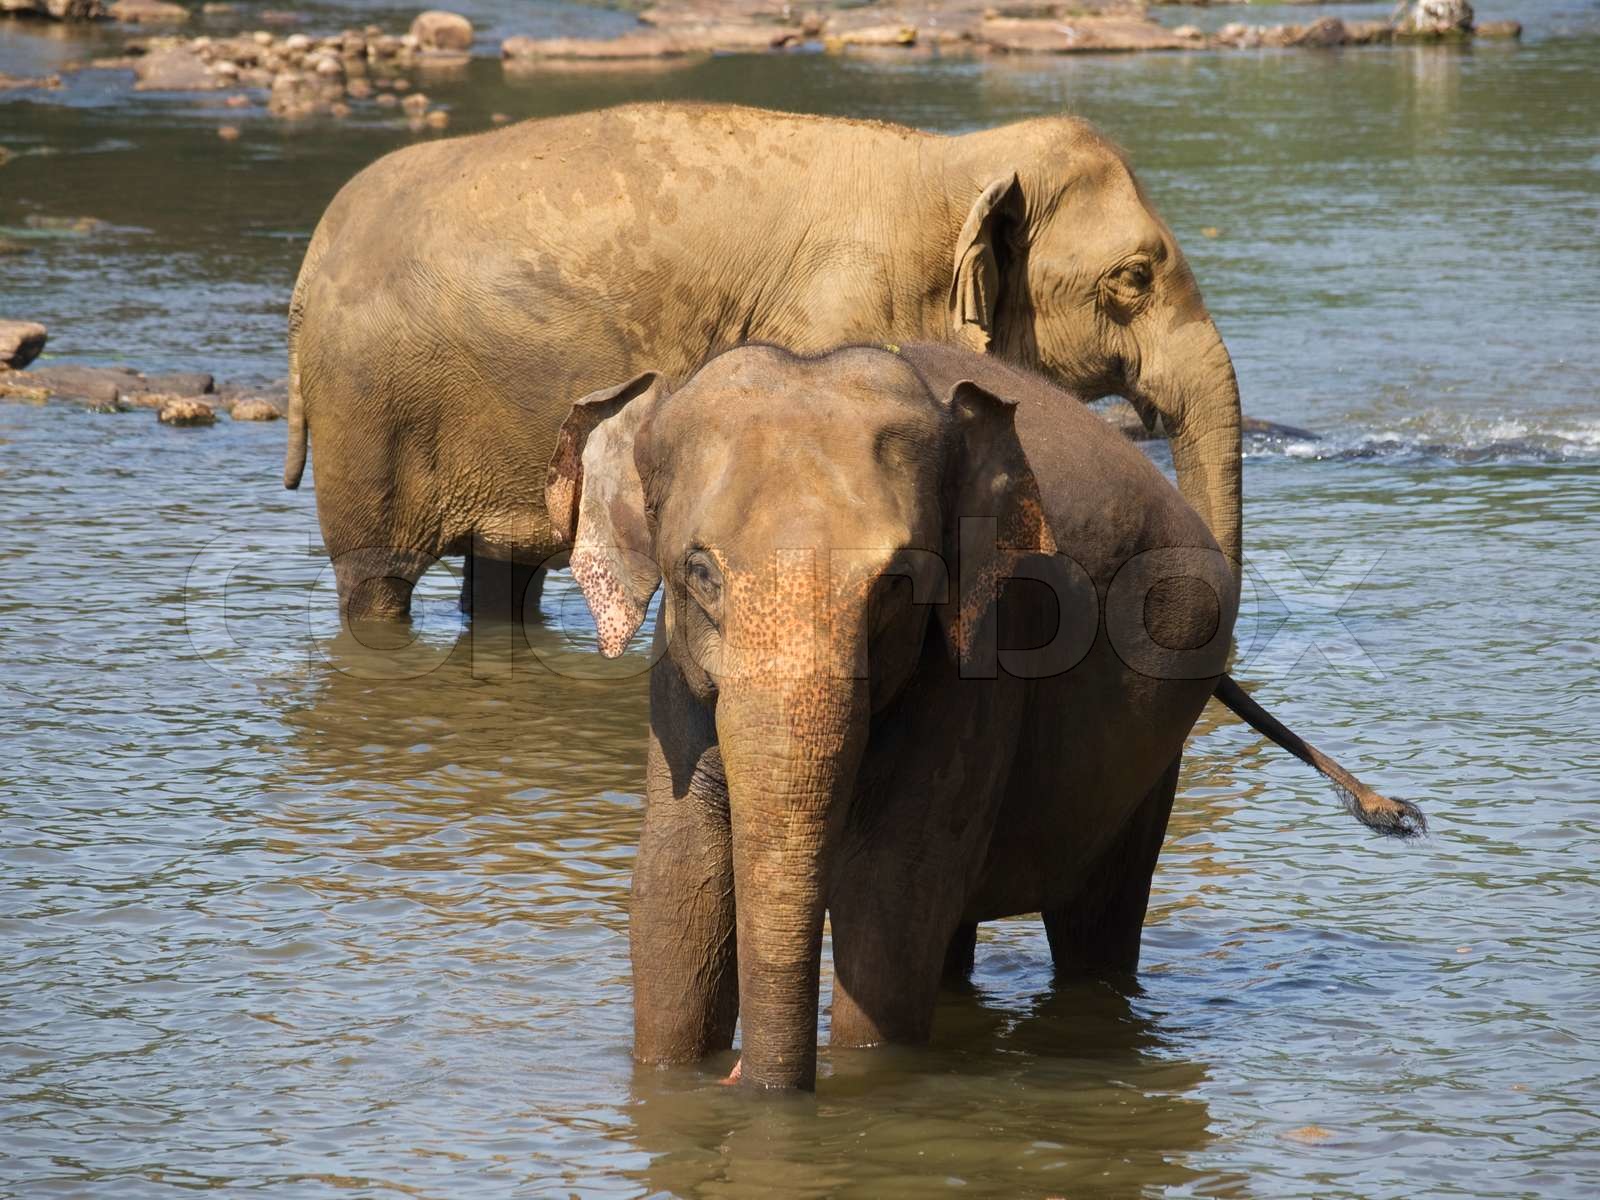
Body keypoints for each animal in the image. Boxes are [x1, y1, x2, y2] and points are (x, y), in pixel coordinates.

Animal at [284, 101, 1244, 625]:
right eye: (1133, 278)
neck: (951, 162)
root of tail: (307, 266)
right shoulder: (838, 315)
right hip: (368, 415)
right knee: (375, 581)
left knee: (501, 577)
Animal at [547, 341, 1422, 1091]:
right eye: (699, 572)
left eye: (899, 583)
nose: (737, 1081)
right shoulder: (676, 679)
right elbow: (675, 891)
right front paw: (678, 1082)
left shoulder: (984, 657)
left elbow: (890, 901)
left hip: (1153, 746)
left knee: (1093, 925)